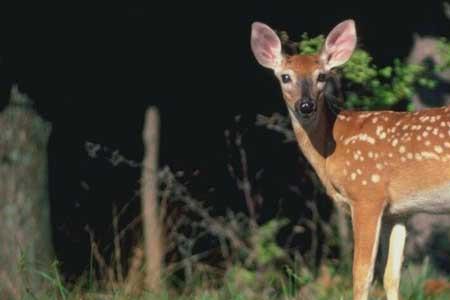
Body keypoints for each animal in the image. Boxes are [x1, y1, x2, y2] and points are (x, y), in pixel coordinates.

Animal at [251, 19, 450, 300]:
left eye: (322, 76)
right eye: (285, 77)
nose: (306, 105)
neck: (333, 147)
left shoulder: (367, 194)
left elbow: (362, 274)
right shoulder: (399, 211)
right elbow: (391, 276)